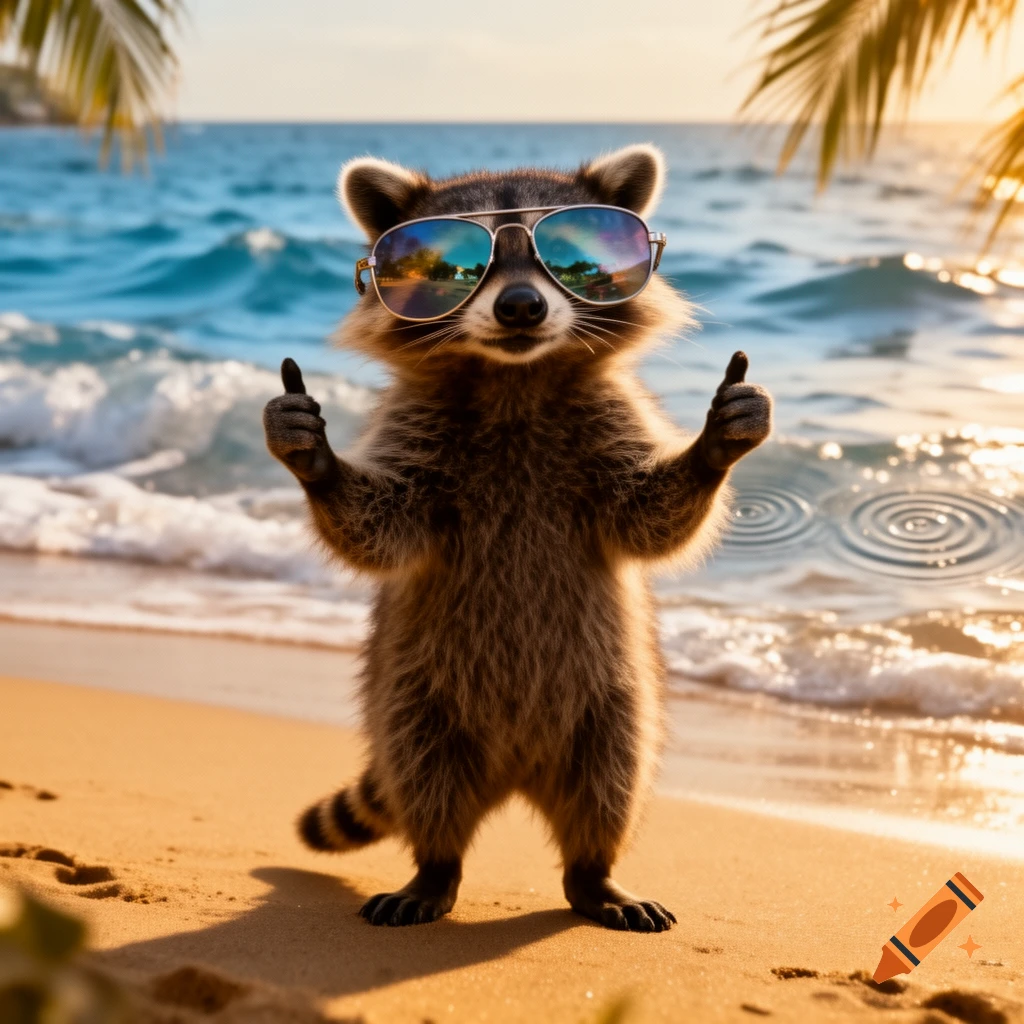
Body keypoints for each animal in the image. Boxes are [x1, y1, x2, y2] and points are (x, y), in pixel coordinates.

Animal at [263, 144, 772, 931]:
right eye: (462, 264)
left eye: (557, 256)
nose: (522, 306)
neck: (515, 376)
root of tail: (513, 768)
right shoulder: (419, 430)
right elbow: (382, 529)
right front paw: (317, 464)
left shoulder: (608, 420)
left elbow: (649, 514)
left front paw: (712, 450)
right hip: (417, 696)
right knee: (426, 777)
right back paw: (435, 867)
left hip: (612, 702)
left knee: (612, 782)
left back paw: (594, 872)